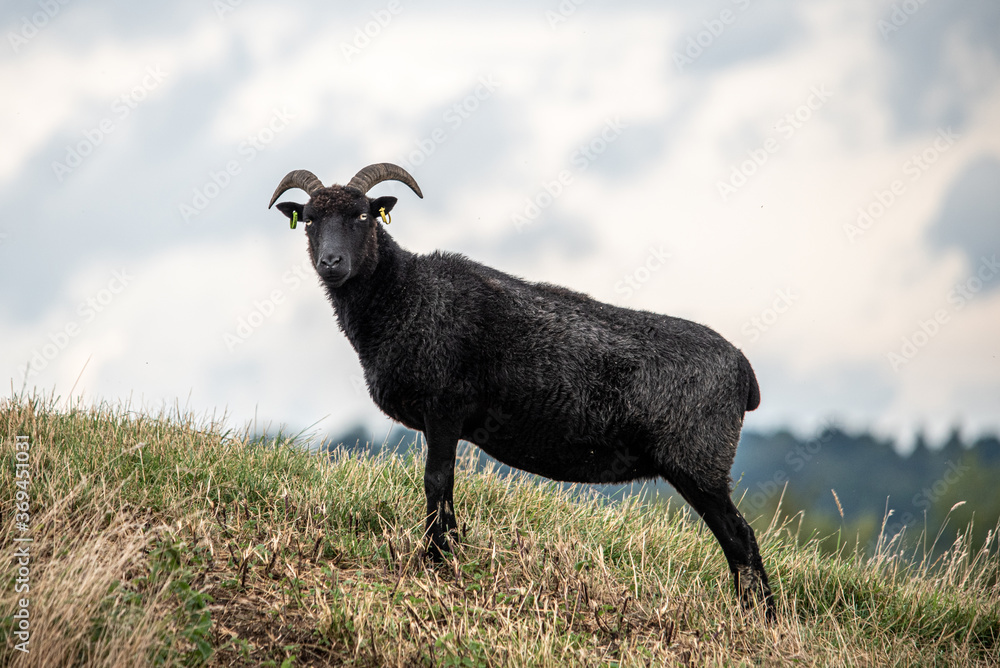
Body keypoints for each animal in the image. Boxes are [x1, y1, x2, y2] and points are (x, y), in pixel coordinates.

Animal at [269, 162, 775, 619]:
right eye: (309, 219)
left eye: (363, 216)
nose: (331, 263)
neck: (405, 295)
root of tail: (744, 372)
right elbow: (443, 484)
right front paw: (448, 551)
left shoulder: (445, 407)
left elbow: (437, 480)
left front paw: (435, 558)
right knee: (737, 542)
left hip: (698, 461)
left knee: (741, 538)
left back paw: (762, 620)